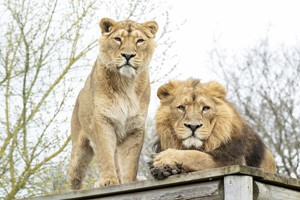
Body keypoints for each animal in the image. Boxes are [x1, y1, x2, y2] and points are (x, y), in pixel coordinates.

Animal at [67, 17, 158, 189]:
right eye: (118, 39)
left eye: (140, 41)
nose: (128, 55)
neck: (126, 82)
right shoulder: (102, 121)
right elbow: (105, 154)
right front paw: (108, 181)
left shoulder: (134, 126)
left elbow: (130, 162)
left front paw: (129, 182)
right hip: (79, 150)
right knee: (73, 176)